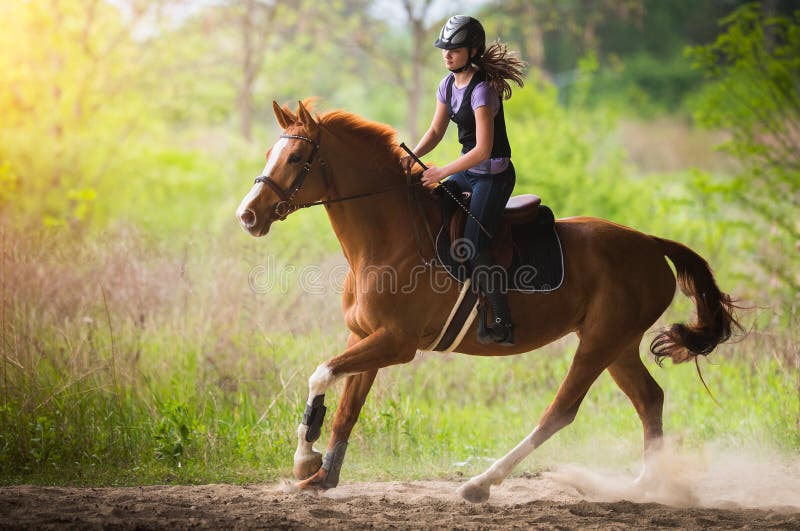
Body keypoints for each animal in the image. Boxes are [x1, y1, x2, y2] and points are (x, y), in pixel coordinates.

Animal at [234, 100, 736, 502]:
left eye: (296, 157)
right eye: (270, 154)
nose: (248, 215)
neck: (388, 240)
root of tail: (650, 243)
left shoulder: (397, 343)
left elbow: (321, 374)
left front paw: (305, 460)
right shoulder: (365, 337)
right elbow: (345, 410)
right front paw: (321, 475)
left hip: (600, 342)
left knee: (560, 412)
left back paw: (482, 483)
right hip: (620, 345)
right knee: (650, 399)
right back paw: (642, 485)